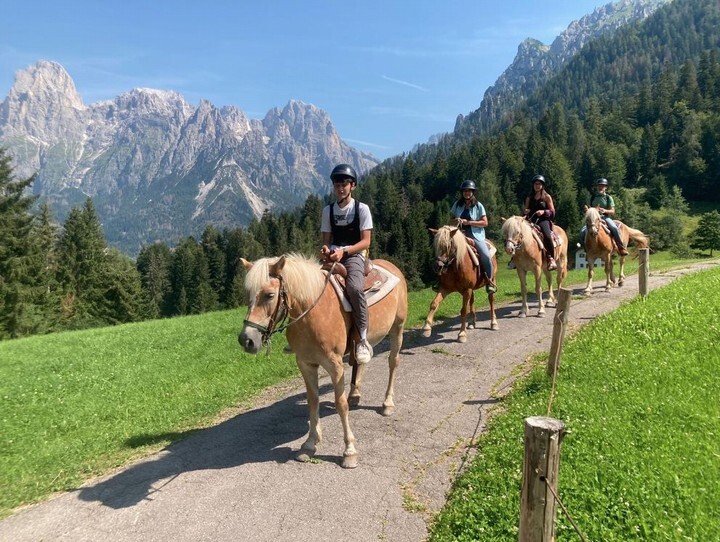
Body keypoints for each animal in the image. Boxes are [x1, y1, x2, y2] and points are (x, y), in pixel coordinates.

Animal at [236, 253, 404, 470]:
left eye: (270, 295)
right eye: (247, 294)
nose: (246, 340)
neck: (312, 313)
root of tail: (391, 266)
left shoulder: (335, 365)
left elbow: (340, 404)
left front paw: (349, 451)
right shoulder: (306, 364)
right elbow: (313, 401)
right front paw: (309, 444)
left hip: (397, 328)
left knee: (393, 362)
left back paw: (387, 404)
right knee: (362, 362)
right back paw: (355, 394)